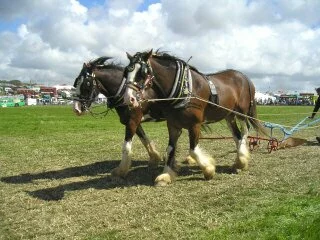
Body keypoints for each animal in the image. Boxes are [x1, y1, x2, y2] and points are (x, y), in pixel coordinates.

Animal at [124, 49, 266, 187]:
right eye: (126, 72)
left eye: (142, 73)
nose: (128, 99)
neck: (184, 89)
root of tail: (244, 77)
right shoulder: (173, 125)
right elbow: (170, 149)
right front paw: (166, 175)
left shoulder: (195, 125)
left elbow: (193, 150)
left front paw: (208, 170)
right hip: (229, 115)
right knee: (237, 136)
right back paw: (239, 162)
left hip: (241, 113)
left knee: (245, 132)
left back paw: (241, 161)